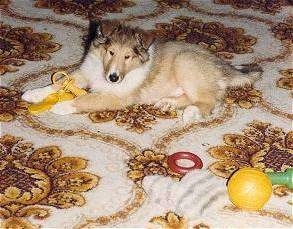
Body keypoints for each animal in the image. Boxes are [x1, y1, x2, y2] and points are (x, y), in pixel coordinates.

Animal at [21, 20, 262, 122]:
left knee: (212, 100)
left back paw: (191, 112)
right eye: (110, 52)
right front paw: (33, 94)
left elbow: (85, 100)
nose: (113, 78)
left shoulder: (117, 96)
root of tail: (223, 67)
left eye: (128, 56)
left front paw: (61, 106)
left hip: (186, 63)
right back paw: (168, 103)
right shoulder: (84, 73)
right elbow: (59, 82)